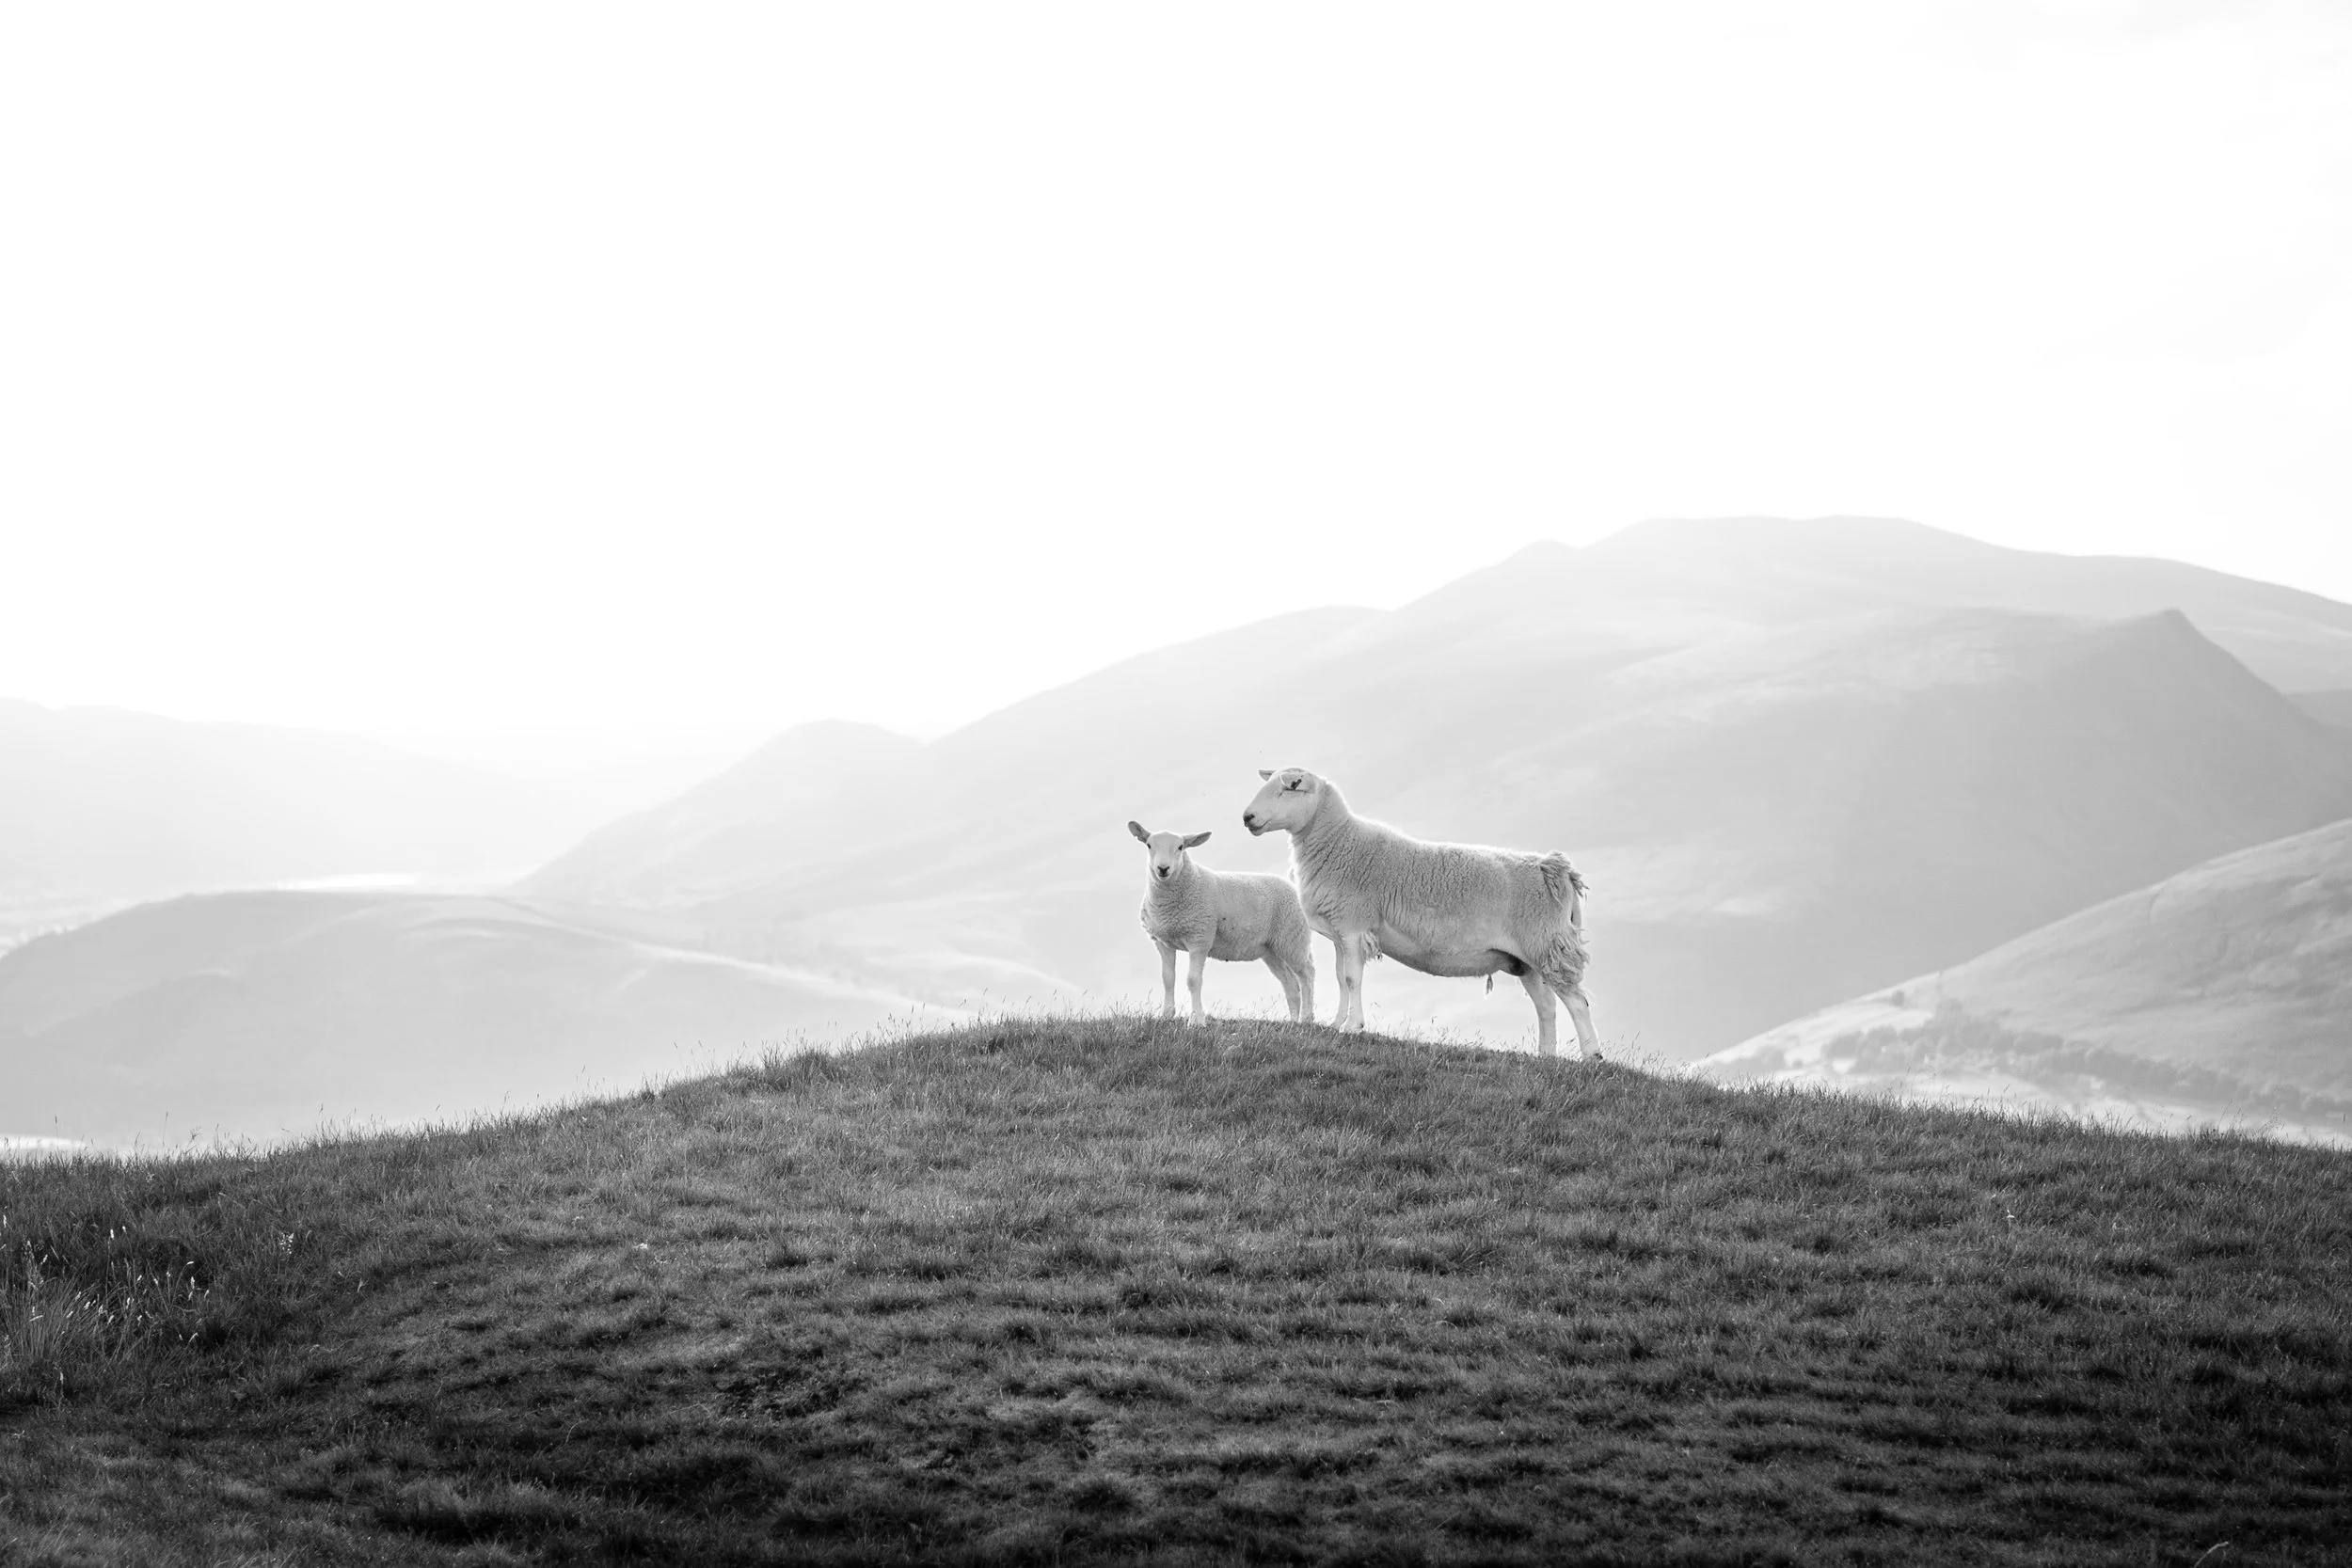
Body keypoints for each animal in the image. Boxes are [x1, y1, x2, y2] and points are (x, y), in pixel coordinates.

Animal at [1128, 821, 1316, 1025]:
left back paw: (1306, 1018)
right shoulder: (1163, 941)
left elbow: (1193, 980)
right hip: (1272, 949)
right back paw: (1293, 1022)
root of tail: (1292, 886)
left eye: (1180, 847)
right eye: (1149, 845)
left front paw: (1196, 1020)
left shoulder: (1200, 938)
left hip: (1292, 938)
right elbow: (1168, 978)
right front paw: (1166, 1016)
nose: (1163, 868)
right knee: (1290, 983)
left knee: (1307, 975)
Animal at [1239, 768, 1598, 1058]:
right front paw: (1337, 1023)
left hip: (1547, 943)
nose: (1247, 818)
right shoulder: (1341, 930)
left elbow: (1353, 978)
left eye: (1290, 787)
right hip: (1526, 958)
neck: (1338, 841)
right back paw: (1546, 1057)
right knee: (1547, 1006)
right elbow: (1342, 979)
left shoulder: (1354, 924)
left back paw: (1592, 1057)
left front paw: (1354, 1026)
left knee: (1576, 1001)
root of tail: (1554, 868)